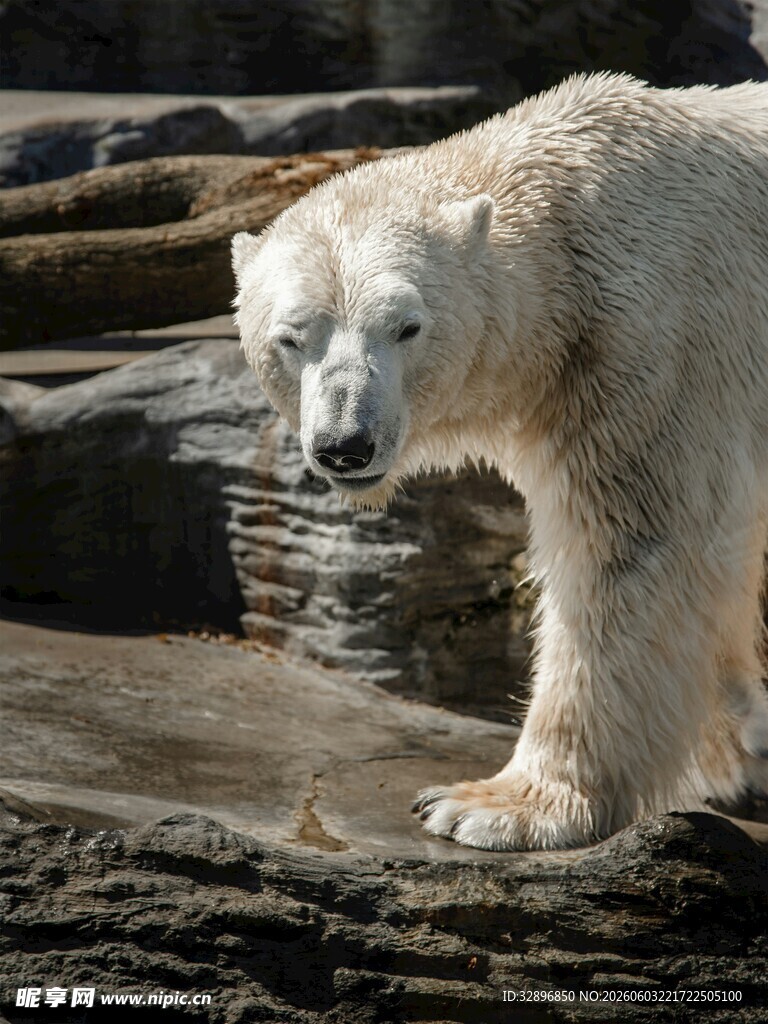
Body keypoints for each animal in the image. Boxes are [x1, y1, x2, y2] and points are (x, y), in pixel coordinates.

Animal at [232, 72, 768, 851]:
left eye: (407, 327)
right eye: (292, 337)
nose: (346, 444)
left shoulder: (654, 345)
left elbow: (632, 547)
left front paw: (497, 805)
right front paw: (737, 748)